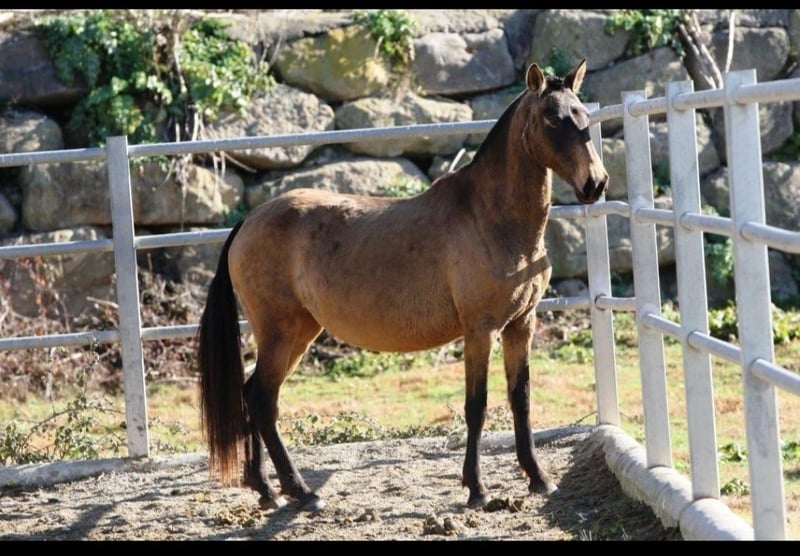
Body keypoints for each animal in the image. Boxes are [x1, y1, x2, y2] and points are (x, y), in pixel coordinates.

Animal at [198, 58, 609, 512]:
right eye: (552, 118)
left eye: (582, 115)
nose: (596, 183)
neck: (492, 218)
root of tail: (249, 221)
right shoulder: (480, 330)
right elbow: (477, 406)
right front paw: (477, 489)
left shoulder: (521, 324)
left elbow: (521, 399)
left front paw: (538, 478)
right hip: (280, 331)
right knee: (262, 399)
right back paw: (301, 491)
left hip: (299, 332)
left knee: (252, 393)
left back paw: (266, 489)